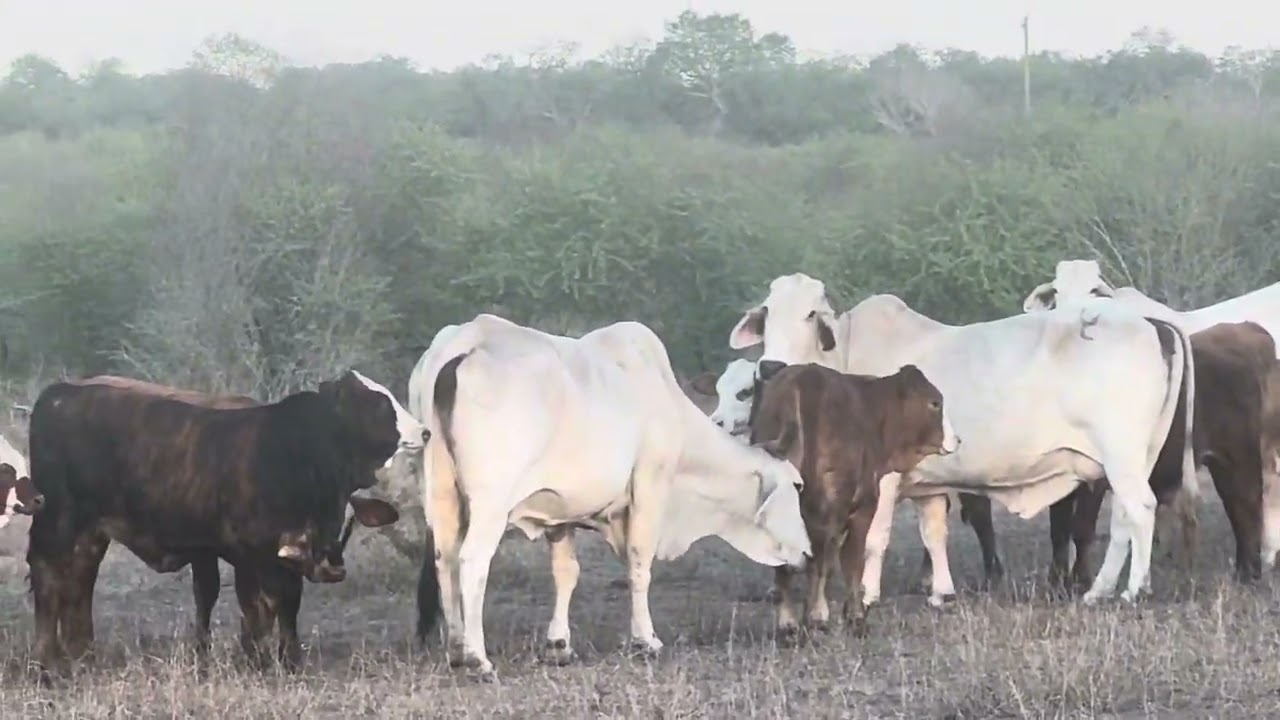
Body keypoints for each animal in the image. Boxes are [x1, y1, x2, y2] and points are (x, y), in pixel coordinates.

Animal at [25, 370, 412, 677]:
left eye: (348, 518)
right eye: (379, 405)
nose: (421, 432)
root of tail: (58, 392)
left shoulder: (282, 556)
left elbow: (286, 605)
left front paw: (288, 661)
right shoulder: (250, 552)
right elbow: (258, 606)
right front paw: (259, 661)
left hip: (90, 532)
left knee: (78, 582)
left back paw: (82, 657)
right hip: (58, 522)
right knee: (49, 577)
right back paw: (47, 665)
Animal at [413, 314, 811, 680]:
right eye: (797, 485)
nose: (807, 554)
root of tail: (465, 345)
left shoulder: (559, 508)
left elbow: (566, 572)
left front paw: (559, 645)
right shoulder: (650, 485)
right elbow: (639, 565)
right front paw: (646, 640)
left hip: (441, 493)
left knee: (445, 559)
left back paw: (456, 648)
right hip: (491, 502)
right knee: (472, 560)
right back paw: (477, 658)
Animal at [749, 362, 958, 636]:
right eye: (935, 403)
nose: (957, 440)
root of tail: (804, 380)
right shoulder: (864, 508)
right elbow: (851, 559)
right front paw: (854, 616)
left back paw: (789, 623)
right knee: (819, 558)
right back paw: (813, 618)